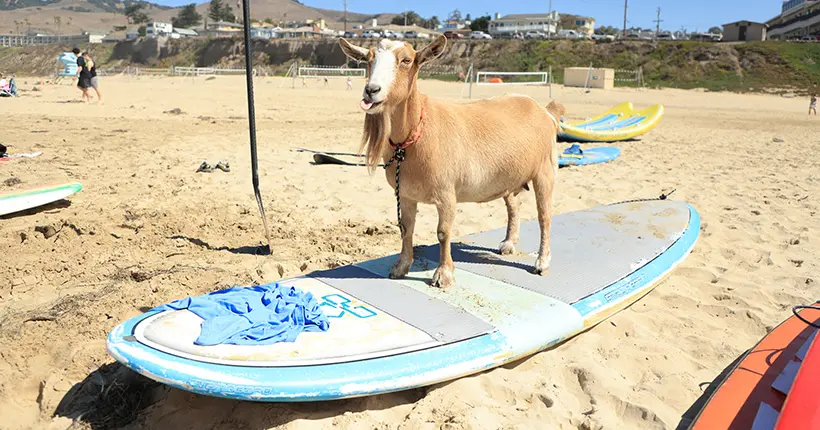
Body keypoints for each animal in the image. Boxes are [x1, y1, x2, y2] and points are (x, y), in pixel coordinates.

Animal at [340, 34, 564, 288]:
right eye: (368, 59)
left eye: (406, 60)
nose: (371, 90)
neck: (416, 134)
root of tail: (544, 110)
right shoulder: (405, 194)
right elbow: (406, 228)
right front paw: (401, 266)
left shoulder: (447, 192)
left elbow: (443, 232)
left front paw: (443, 274)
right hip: (509, 177)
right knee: (513, 206)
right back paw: (508, 243)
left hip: (545, 169)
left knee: (544, 216)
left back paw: (542, 262)